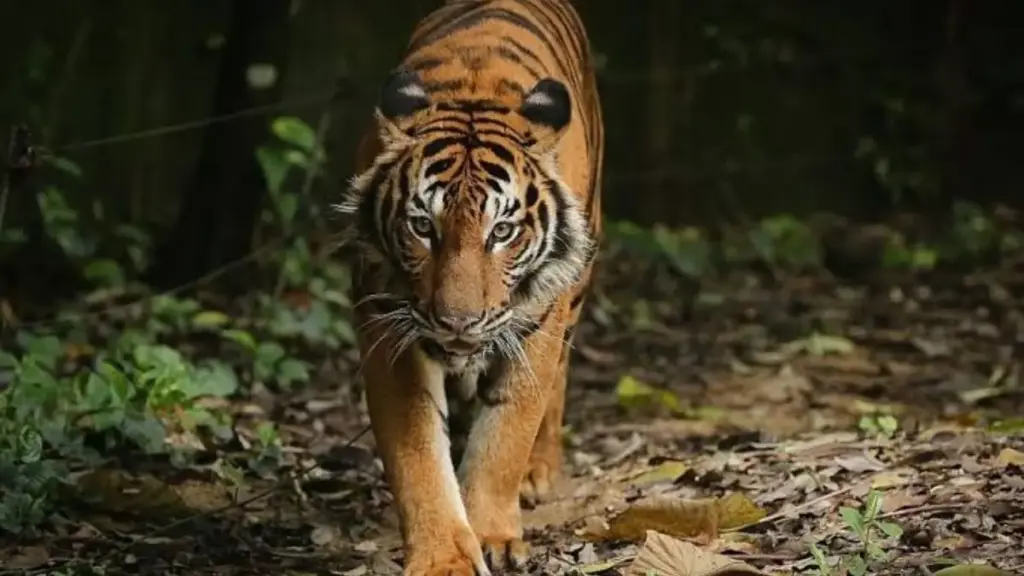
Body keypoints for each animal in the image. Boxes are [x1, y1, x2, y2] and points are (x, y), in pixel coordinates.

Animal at [337, 0, 604, 573]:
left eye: (501, 231)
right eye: (422, 226)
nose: (457, 322)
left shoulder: (539, 321)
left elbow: (506, 433)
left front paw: (492, 536)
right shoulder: (387, 326)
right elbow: (416, 451)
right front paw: (444, 556)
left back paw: (537, 471)